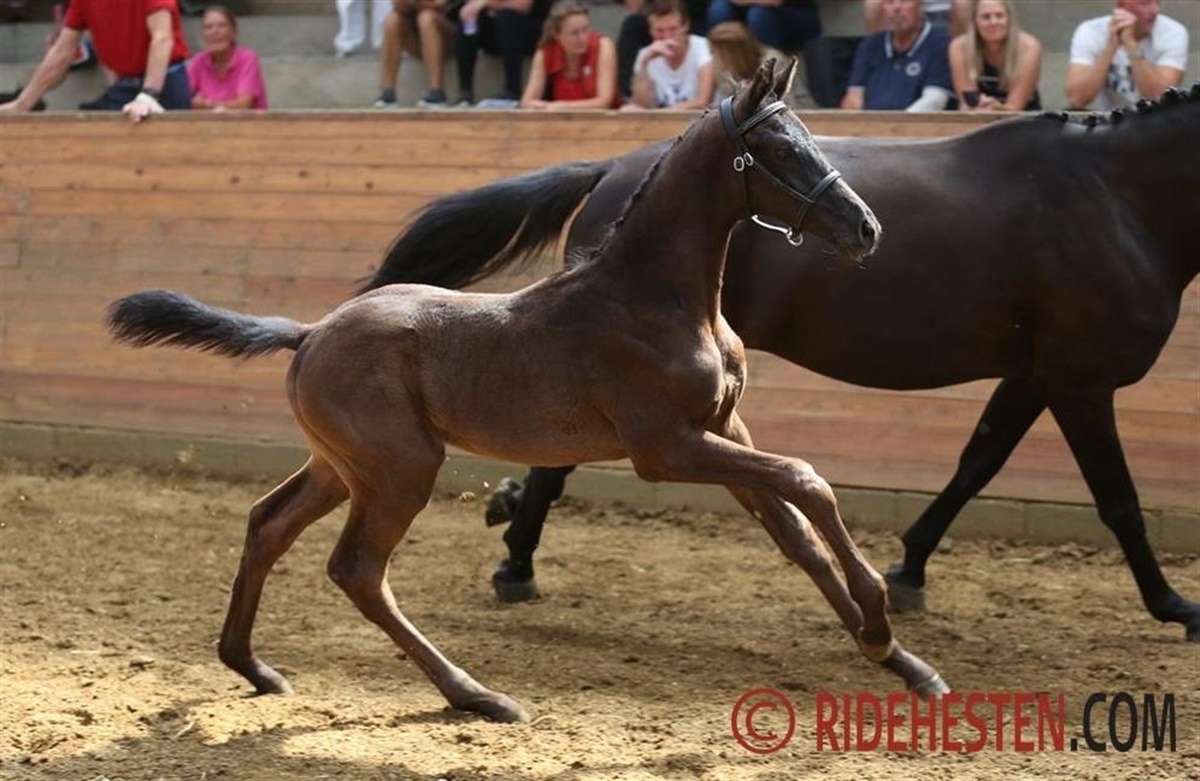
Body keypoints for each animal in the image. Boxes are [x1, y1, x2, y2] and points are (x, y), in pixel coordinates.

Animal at [106, 61, 951, 722]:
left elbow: (797, 533)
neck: (658, 298)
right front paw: (881, 623)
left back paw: (250, 664)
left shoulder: (725, 430)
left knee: (267, 524)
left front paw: (903, 661)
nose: (866, 228)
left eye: (809, 137)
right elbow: (808, 480)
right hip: (400, 469)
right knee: (357, 569)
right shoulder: (667, 448)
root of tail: (308, 332)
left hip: (342, 465)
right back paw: (475, 693)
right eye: (778, 149)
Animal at [361, 85, 1200, 642]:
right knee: (555, 459)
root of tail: (614, 166)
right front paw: (1176, 607)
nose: (866, 229)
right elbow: (1118, 501)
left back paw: (511, 534)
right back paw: (515, 563)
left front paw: (909, 570)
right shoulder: (1079, 379)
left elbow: (975, 464)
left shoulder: (1035, 375)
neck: (1116, 197)